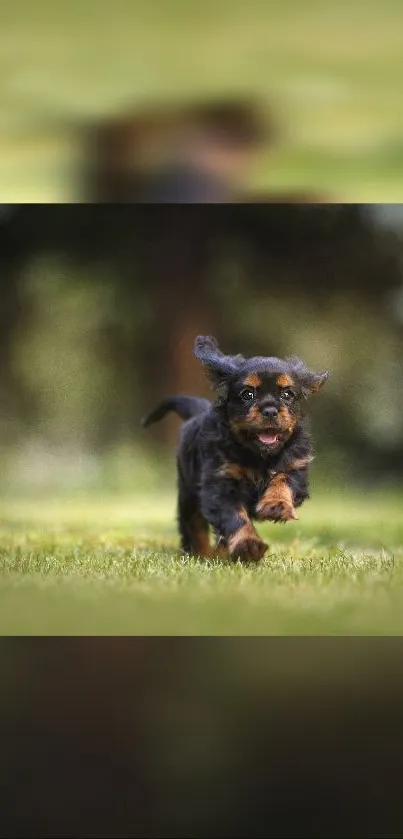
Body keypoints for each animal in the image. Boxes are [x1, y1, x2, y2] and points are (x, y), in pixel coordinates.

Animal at [144, 336, 330, 564]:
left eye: (288, 394)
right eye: (247, 394)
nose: (270, 410)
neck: (259, 455)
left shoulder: (295, 467)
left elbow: (282, 481)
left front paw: (276, 504)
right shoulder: (220, 483)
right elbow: (235, 517)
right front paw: (248, 545)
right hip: (188, 492)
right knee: (193, 525)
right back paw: (203, 555)